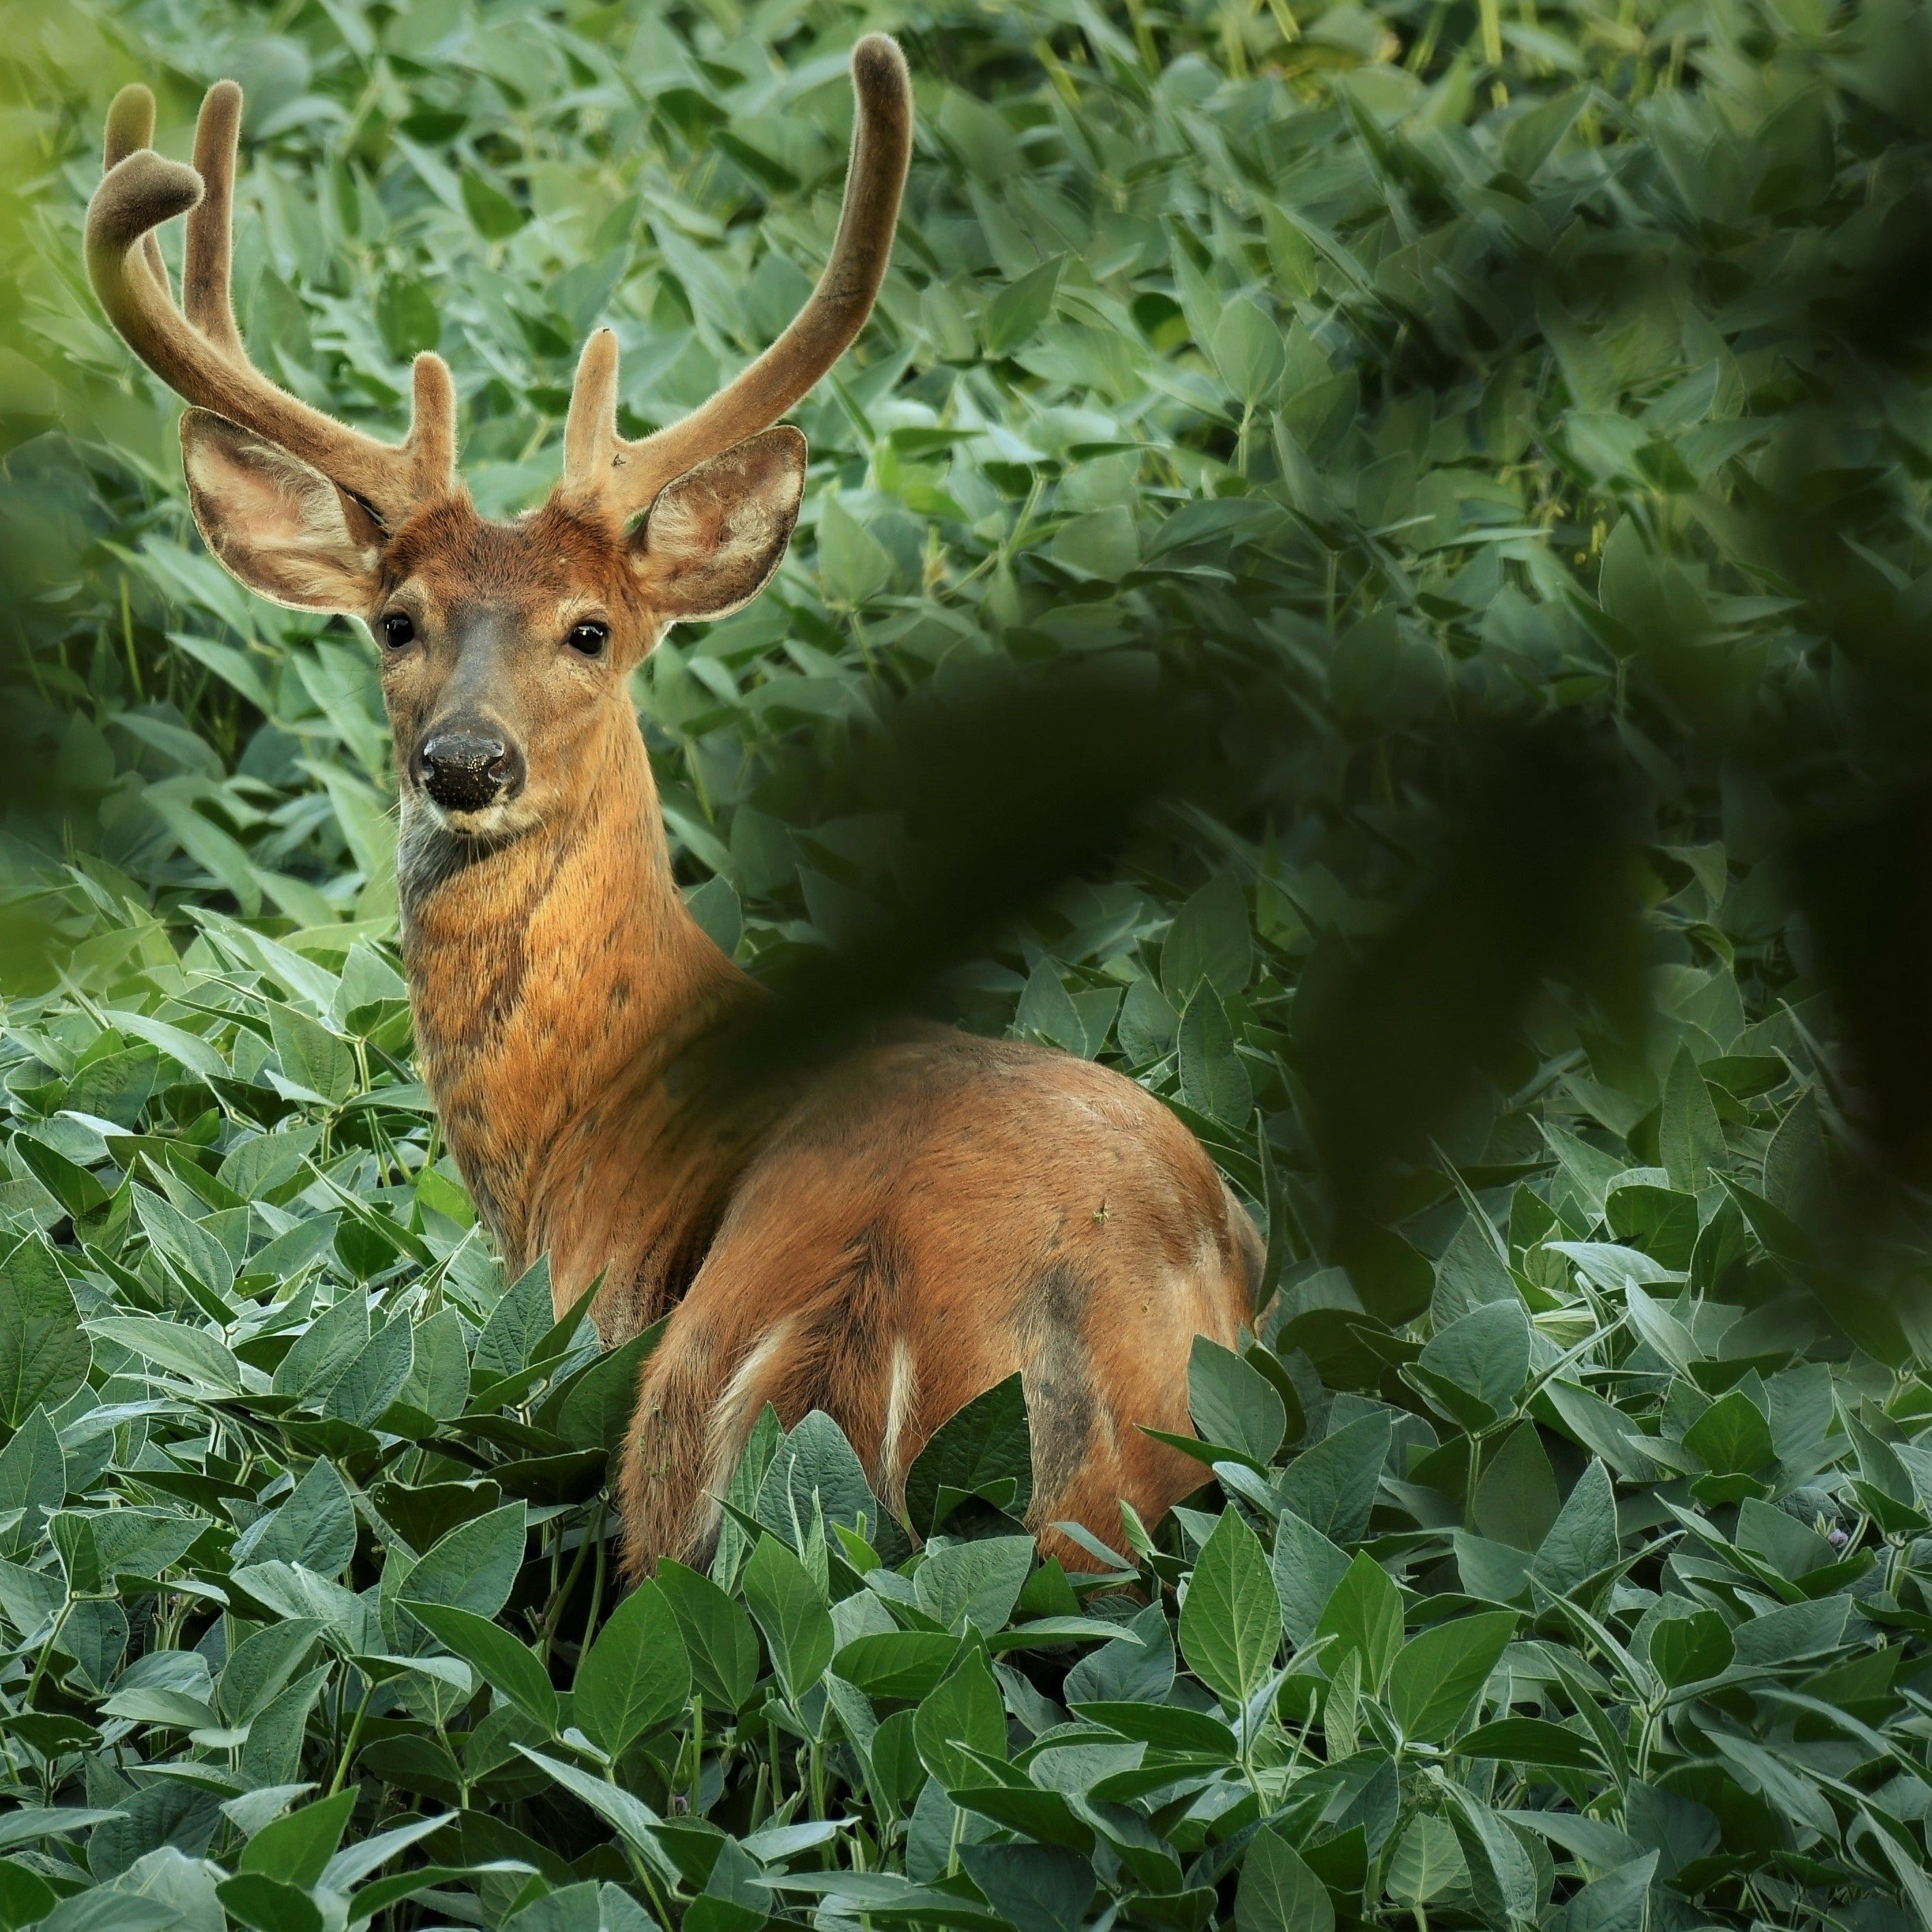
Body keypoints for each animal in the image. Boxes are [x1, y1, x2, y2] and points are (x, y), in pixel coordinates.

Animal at [91, 45, 1260, 1576]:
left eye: (590, 629)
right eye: (398, 621)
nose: (465, 762)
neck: (589, 1139)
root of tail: (865, 1321)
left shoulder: (569, 1331)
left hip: (665, 1423)